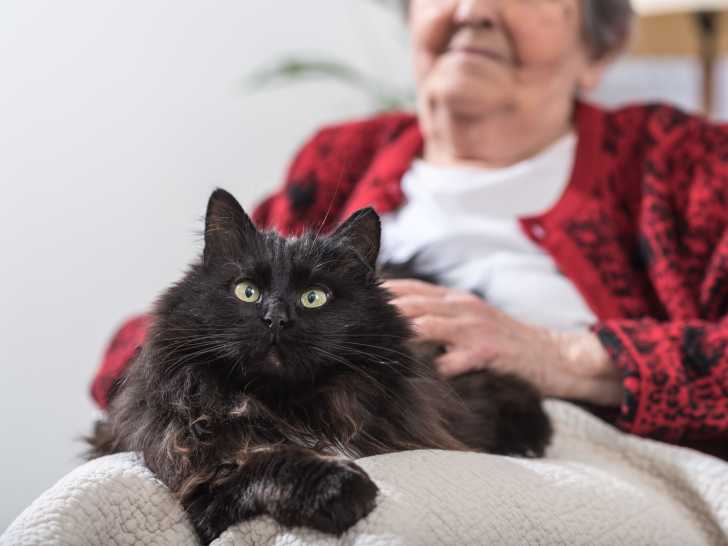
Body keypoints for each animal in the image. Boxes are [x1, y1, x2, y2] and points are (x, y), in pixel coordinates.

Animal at [87, 188, 551, 544]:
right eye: (247, 291)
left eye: (314, 297)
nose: (276, 318)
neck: (287, 406)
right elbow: (266, 464)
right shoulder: (199, 477)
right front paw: (339, 489)